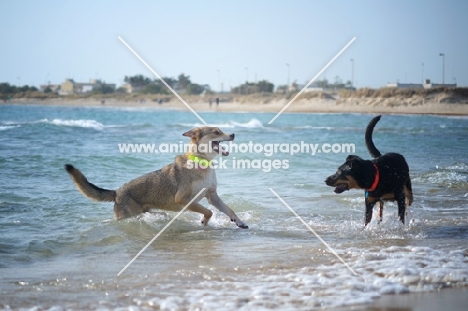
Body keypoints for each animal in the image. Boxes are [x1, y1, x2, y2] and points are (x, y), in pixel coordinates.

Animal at [66, 127, 249, 229]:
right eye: (216, 132)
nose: (233, 134)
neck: (201, 163)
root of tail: (117, 192)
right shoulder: (184, 199)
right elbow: (209, 212)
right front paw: (204, 222)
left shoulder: (212, 196)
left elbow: (229, 210)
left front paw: (239, 222)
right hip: (130, 216)